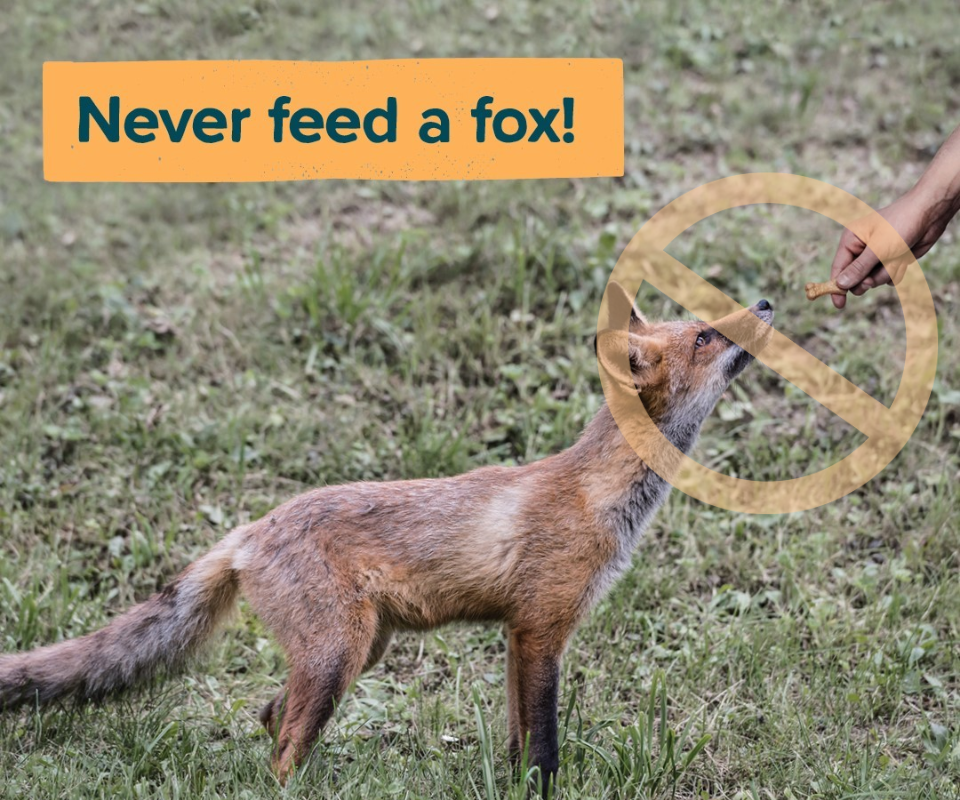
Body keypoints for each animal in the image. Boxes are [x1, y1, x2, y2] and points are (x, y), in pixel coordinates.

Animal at [0, 282, 773, 792]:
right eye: (705, 335)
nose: (765, 304)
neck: (597, 495)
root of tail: (251, 529)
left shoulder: (519, 635)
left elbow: (519, 740)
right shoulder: (538, 629)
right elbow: (543, 745)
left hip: (356, 652)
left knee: (270, 715)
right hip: (337, 656)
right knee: (281, 749)